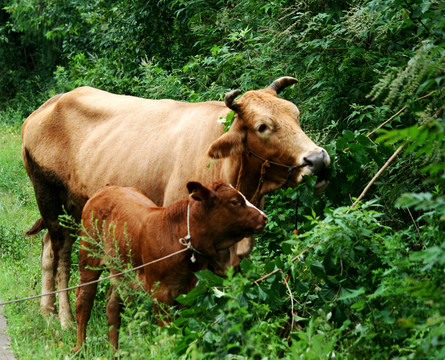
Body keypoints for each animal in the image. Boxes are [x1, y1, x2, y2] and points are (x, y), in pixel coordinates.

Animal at [21, 76, 330, 330]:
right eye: (262, 126)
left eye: (296, 115)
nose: (317, 159)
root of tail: (49, 104)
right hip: (51, 202)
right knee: (61, 254)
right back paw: (64, 319)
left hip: (72, 210)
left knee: (47, 247)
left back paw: (47, 311)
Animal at [74, 181, 268, 350]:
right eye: (235, 201)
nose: (264, 217)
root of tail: (108, 188)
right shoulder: (159, 293)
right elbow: (168, 333)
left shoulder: (187, 291)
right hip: (88, 258)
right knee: (84, 301)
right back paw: (80, 349)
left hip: (122, 273)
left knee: (112, 307)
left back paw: (114, 352)